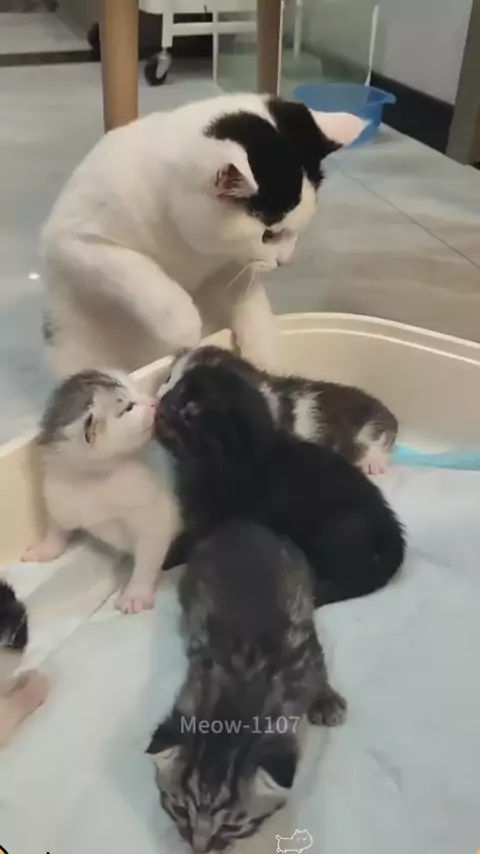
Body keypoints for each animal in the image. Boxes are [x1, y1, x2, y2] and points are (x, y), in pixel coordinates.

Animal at [22, 370, 181, 614]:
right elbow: (57, 527)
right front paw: (46, 549)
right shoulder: (60, 494)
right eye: (128, 407)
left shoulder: (155, 512)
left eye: (137, 390)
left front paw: (136, 593)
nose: (154, 401)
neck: (96, 478)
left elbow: (148, 552)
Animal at [41, 94, 366, 377]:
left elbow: (250, 302)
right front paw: (183, 326)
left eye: (298, 230)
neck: (188, 246)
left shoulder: (231, 265)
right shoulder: (73, 240)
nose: (285, 261)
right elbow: (137, 272)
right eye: (267, 235)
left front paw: (263, 353)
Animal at [147, 520, 346, 853]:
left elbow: (319, 669)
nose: (200, 848)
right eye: (180, 810)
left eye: (231, 827)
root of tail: (240, 525)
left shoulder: (305, 645)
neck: (240, 693)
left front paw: (325, 698)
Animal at [154, 359, 405, 607]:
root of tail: (389, 520)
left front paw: (166, 560)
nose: (159, 407)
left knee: (358, 575)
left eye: (192, 409)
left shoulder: (215, 517)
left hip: (336, 531)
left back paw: (322, 592)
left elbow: (189, 539)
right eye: (174, 389)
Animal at [159, 345, 398, 475]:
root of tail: (390, 414)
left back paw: (373, 463)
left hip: (370, 430)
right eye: (168, 379)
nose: (160, 400)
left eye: (191, 398)